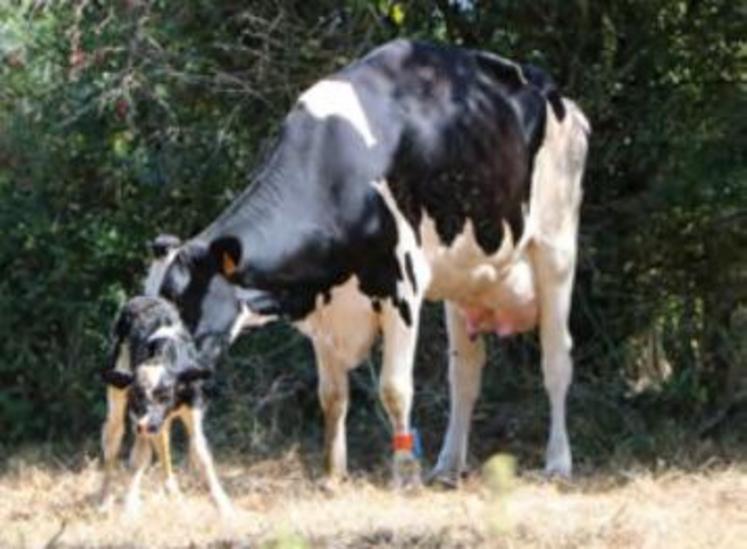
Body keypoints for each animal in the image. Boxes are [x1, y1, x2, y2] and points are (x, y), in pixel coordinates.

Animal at [99, 296, 232, 512]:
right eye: (136, 394)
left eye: (166, 394)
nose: (146, 425)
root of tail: (140, 299)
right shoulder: (139, 417)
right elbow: (139, 458)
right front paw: (129, 507)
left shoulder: (193, 409)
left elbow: (202, 454)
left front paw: (224, 506)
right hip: (117, 394)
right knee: (113, 439)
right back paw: (104, 499)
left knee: (162, 442)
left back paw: (173, 492)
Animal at [145, 39, 592, 484]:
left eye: (184, 310)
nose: (153, 387)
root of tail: (559, 97)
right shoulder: (323, 305)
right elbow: (332, 395)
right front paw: (333, 475)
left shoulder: (402, 288)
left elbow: (394, 388)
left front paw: (404, 474)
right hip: (464, 276)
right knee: (464, 374)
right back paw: (448, 466)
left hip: (555, 249)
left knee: (557, 361)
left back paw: (557, 463)